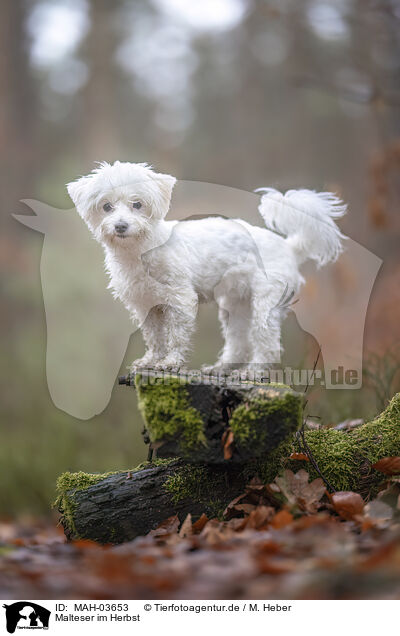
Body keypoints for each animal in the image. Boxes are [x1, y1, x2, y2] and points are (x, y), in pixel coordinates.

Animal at [66, 159, 346, 376]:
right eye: (106, 206)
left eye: (138, 204)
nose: (121, 226)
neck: (140, 253)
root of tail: (289, 246)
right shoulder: (146, 305)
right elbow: (155, 337)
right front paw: (151, 361)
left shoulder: (180, 299)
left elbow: (176, 336)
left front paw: (170, 363)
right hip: (237, 306)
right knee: (238, 344)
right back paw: (220, 368)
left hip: (264, 306)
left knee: (267, 346)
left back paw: (251, 373)